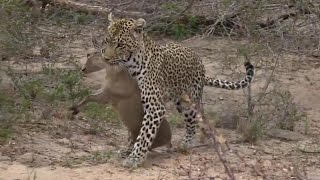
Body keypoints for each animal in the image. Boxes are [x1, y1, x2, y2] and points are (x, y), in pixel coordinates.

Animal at [92, 13, 255, 169]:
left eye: (120, 45)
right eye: (106, 40)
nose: (105, 58)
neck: (131, 66)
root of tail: (199, 61)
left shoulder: (155, 108)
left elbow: (144, 135)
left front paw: (135, 158)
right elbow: (133, 129)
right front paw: (128, 149)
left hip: (188, 103)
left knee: (193, 123)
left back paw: (188, 144)